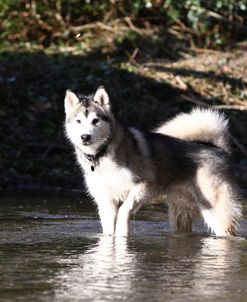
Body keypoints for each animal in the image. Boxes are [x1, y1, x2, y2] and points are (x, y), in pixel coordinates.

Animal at [63, 86, 241, 237]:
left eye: (95, 121)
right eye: (78, 121)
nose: (85, 137)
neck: (102, 155)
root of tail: (218, 148)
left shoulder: (143, 186)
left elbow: (124, 210)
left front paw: (122, 233)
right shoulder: (105, 200)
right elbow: (109, 229)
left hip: (216, 211)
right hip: (181, 212)